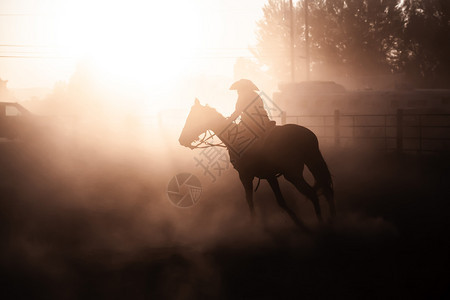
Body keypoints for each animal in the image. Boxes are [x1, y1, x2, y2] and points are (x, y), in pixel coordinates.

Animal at [178, 98, 334, 227]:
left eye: (192, 119)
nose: (181, 140)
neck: (235, 138)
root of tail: (308, 135)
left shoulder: (245, 176)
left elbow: (251, 201)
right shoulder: (269, 176)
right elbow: (279, 201)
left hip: (293, 174)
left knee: (313, 193)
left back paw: (322, 224)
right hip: (312, 163)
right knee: (327, 190)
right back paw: (330, 220)